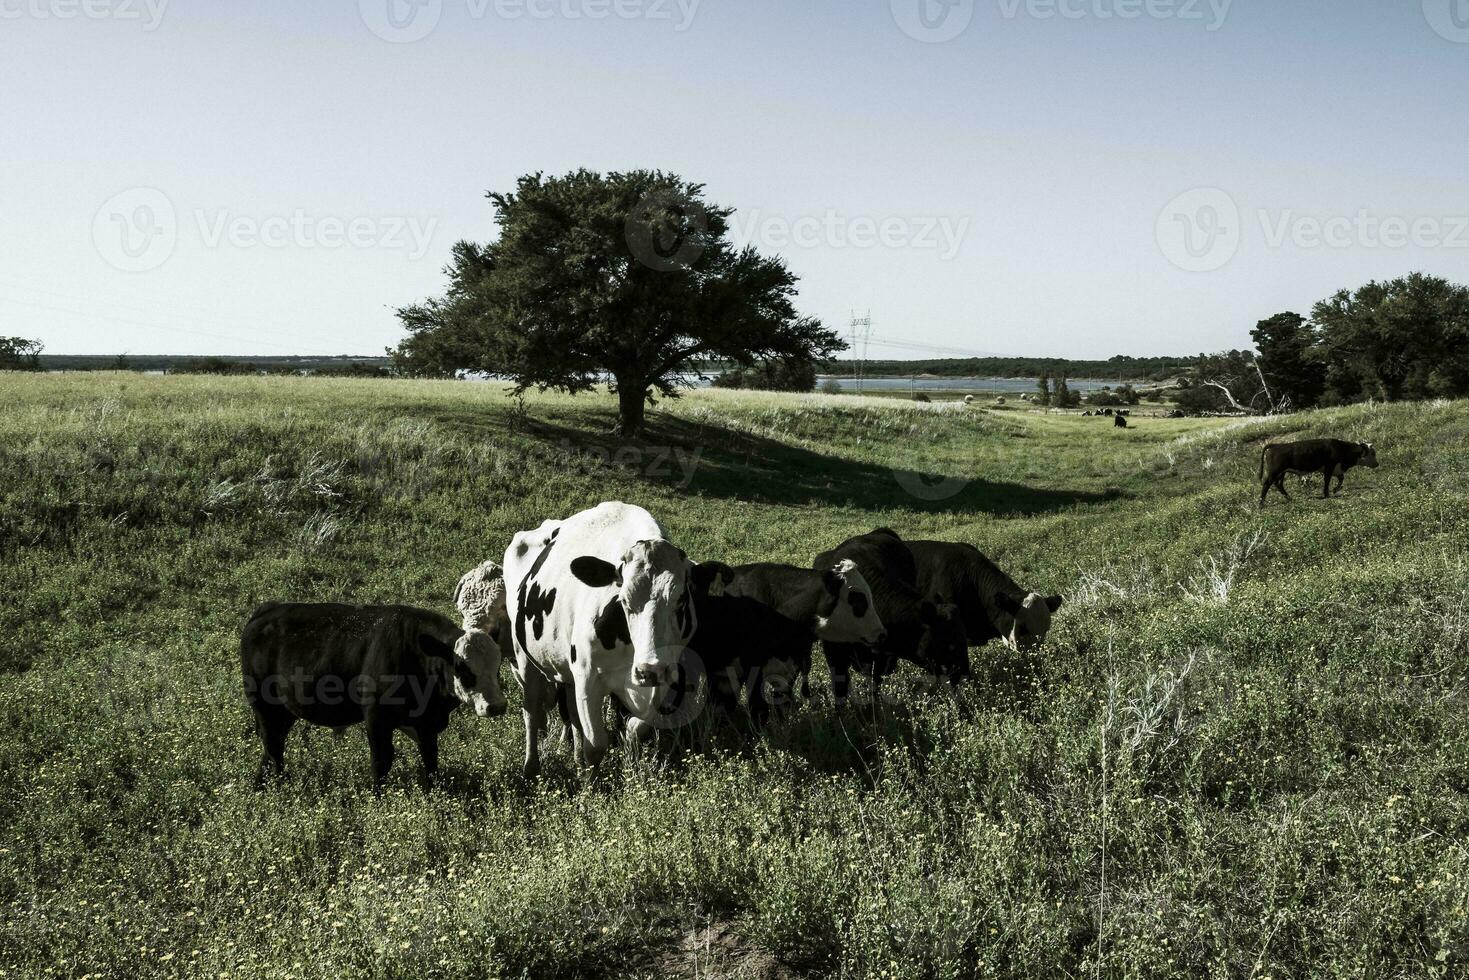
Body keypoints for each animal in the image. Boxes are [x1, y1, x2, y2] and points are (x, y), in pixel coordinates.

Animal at [237, 602, 508, 793]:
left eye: (497, 666)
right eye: (462, 668)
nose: (496, 706)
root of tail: (266, 610)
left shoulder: (427, 724)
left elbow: (431, 759)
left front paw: (436, 793)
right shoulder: (376, 717)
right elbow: (381, 760)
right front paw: (378, 798)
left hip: (285, 710)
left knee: (273, 744)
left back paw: (261, 785)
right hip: (263, 704)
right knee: (273, 744)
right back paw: (279, 787)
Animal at [505, 502, 710, 775]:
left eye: (681, 600)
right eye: (624, 600)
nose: (649, 670)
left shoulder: (662, 676)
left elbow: (636, 728)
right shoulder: (588, 677)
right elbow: (596, 745)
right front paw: (591, 783)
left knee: (570, 712)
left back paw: (576, 759)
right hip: (524, 658)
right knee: (531, 712)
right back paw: (531, 767)